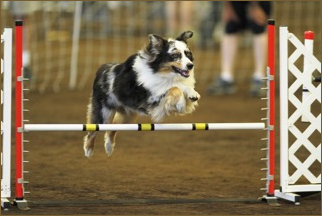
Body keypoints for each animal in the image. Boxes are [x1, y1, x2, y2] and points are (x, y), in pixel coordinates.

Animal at [82, 30, 199, 158]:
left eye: (188, 54)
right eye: (175, 55)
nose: (190, 65)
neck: (162, 72)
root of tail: (103, 69)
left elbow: (180, 87)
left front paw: (191, 94)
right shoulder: (153, 101)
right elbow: (174, 89)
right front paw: (181, 103)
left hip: (127, 116)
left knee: (112, 128)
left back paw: (109, 148)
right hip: (104, 114)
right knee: (93, 130)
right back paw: (88, 151)